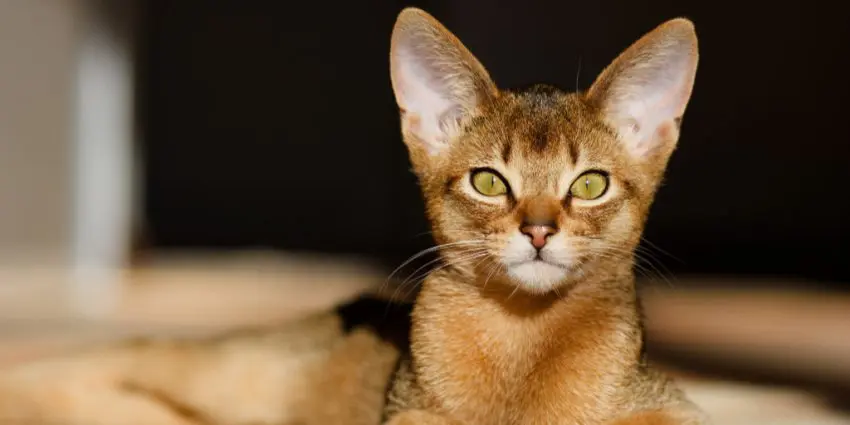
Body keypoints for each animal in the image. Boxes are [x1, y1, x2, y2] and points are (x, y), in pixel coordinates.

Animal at [0, 6, 704, 424]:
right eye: (487, 181)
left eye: (589, 185)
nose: (537, 230)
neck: (523, 346)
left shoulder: (672, 408)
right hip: (229, 369)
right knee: (108, 355)